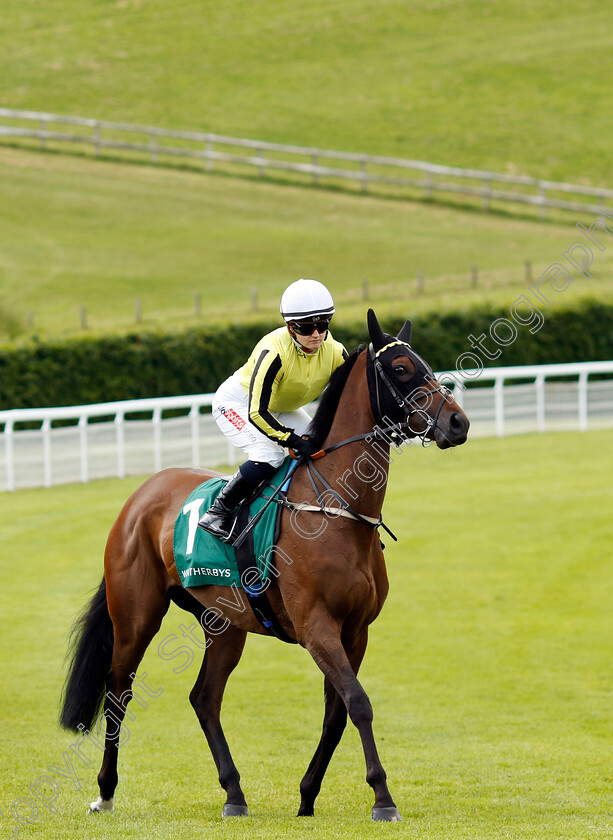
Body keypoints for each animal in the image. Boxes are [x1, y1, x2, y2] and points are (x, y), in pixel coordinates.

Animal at [59, 306, 468, 820]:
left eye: (426, 364)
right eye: (400, 369)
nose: (458, 422)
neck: (337, 510)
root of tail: (137, 498)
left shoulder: (355, 630)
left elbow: (337, 713)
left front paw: (308, 796)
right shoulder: (316, 626)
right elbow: (358, 702)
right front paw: (382, 798)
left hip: (224, 623)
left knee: (205, 698)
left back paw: (234, 793)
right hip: (136, 618)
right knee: (118, 695)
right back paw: (106, 791)